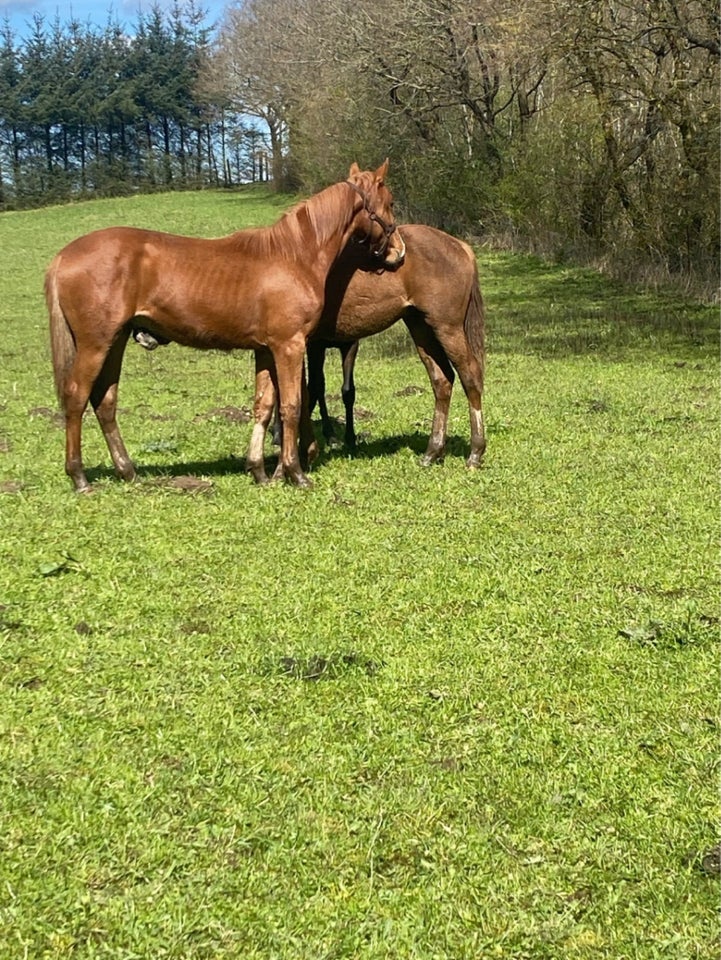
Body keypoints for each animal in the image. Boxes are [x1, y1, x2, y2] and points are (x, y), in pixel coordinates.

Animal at [47, 162, 402, 492]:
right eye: (391, 202)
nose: (399, 252)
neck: (294, 255)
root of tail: (63, 256)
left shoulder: (266, 349)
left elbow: (264, 406)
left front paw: (260, 471)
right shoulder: (289, 345)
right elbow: (291, 405)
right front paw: (295, 472)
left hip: (115, 340)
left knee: (105, 401)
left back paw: (127, 470)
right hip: (95, 344)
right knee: (76, 397)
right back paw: (79, 477)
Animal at [253, 224, 484, 480]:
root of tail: (461, 247)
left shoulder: (304, 345)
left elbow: (304, 395)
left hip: (447, 328)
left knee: (470, 377)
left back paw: (475, 453)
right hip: (421, 327)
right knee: (442, 380)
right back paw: (432, 453)